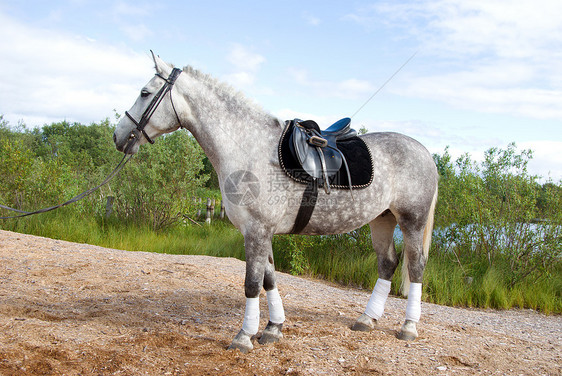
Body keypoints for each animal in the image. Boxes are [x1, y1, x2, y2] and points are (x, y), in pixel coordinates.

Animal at [112, 51, 438, 354]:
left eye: (144, 92)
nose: (118, 136)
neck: (248, 146)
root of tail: (424, 151)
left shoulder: (256, 230)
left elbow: (252, 283)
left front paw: (244, 336)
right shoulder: (259, 231)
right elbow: (268, 278)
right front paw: (272, 328)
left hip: (411, 220)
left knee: (416, 265)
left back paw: (408, 326)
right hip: (382, 219)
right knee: (388, 263)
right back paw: (367, 319)